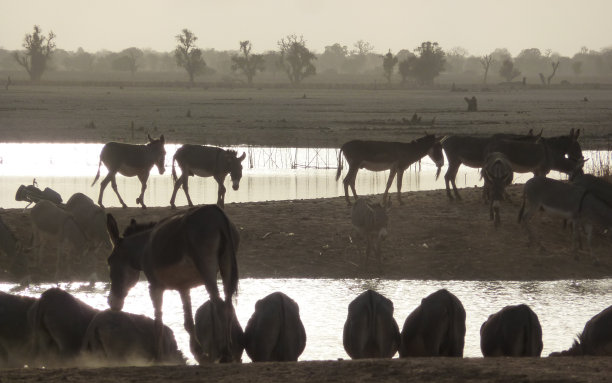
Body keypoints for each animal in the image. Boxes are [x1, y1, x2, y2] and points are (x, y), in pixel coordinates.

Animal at [105, 206, 239, 364]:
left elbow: (158, 322)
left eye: (109, 261)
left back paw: (225, 354)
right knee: (229, 305)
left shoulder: (155, 286)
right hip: (226, 266)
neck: (144, 248)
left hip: (207, 269)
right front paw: (199, 354)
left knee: (219, 305)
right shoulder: (183, 287)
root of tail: (216, 212)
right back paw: (229, 350)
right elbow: (188, 322)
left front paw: (157, 358)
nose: (112, 303)